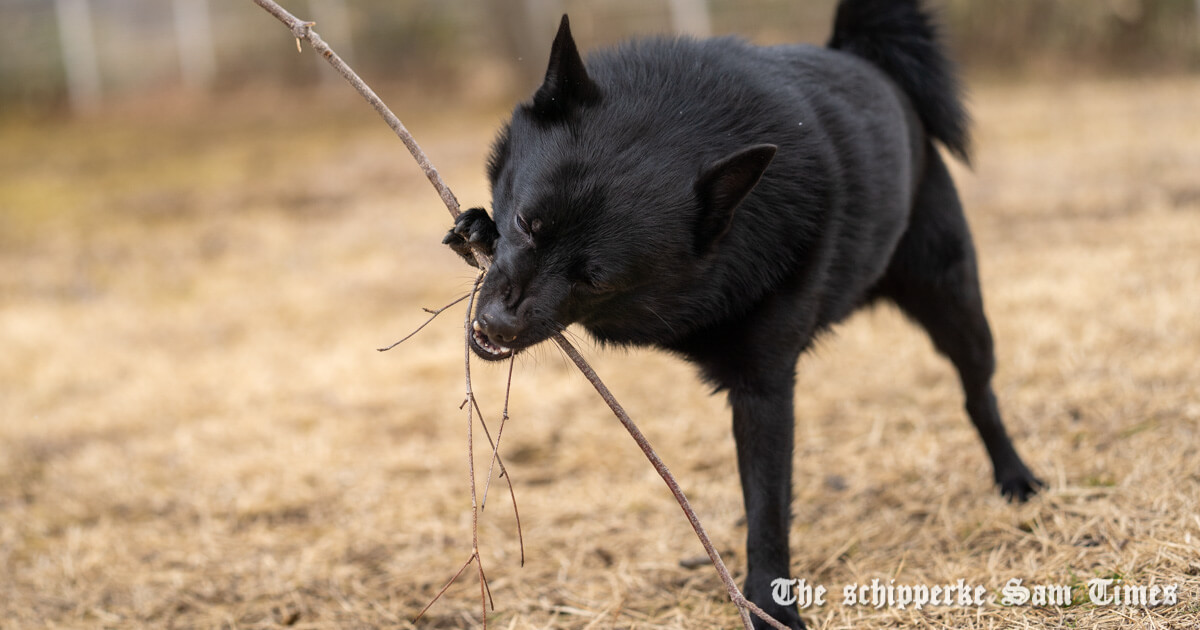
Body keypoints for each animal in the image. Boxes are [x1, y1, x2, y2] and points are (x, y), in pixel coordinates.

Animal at [441, 1, 1041, 624]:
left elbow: (769, 509)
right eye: (527, 222)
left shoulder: (766, 390)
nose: (496, 326)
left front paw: (771, 605)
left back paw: (1015, 478)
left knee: (979, 395)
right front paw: (475, 228)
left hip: (957, 309)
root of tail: (863, 58)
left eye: (595, 277)